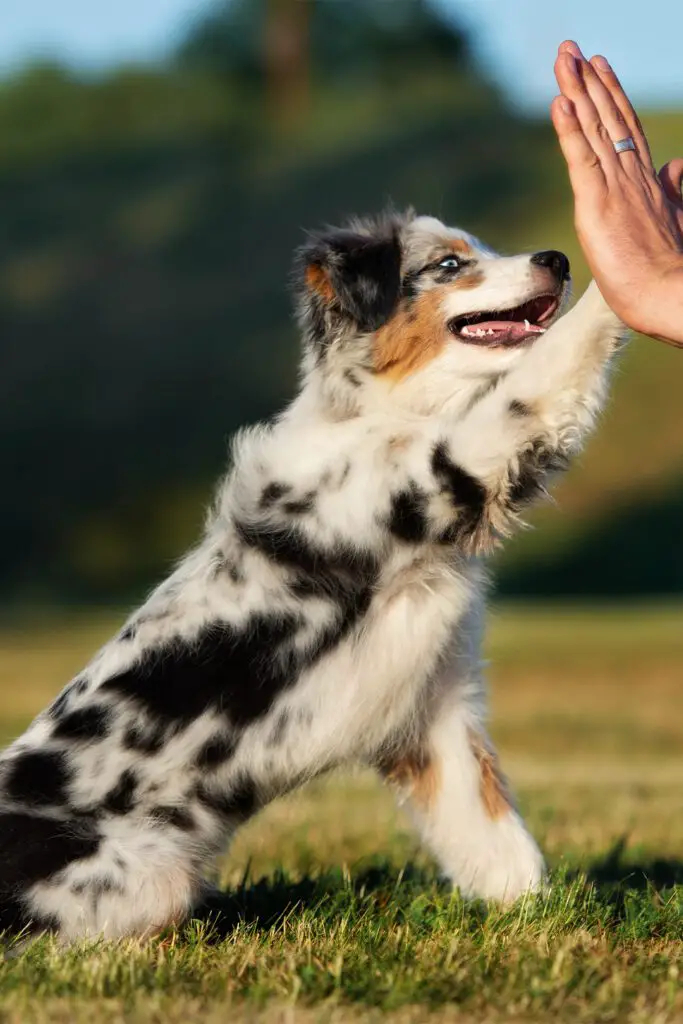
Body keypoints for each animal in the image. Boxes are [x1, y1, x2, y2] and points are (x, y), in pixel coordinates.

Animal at [0, 211, 626, 937]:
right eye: (448, 265)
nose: (556, 258)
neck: (387, 415)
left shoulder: (436, 709)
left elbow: (494, 837)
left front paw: (537, 920)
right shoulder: (451, 465)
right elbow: (541, 377)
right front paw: (622, 263)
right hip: (144, 877)